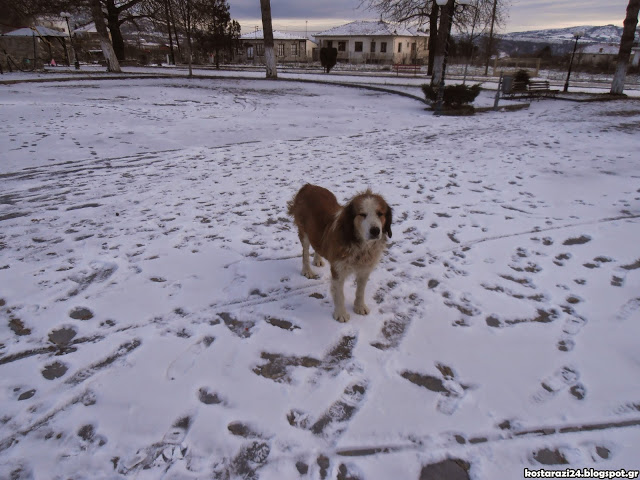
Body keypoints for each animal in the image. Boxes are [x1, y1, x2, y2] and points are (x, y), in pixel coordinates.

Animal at [288, 184, 390, 322]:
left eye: (380, 214)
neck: (359, 245)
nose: (375, 231)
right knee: (305, 252)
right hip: (304, 232)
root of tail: (308, 186)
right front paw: (341, 314)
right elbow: (339, 294)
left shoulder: (365, 269)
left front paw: (359, 307)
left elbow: (360, 290)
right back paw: (307, 270)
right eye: (362, 214)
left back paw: (318, 260)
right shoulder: (338, 269)